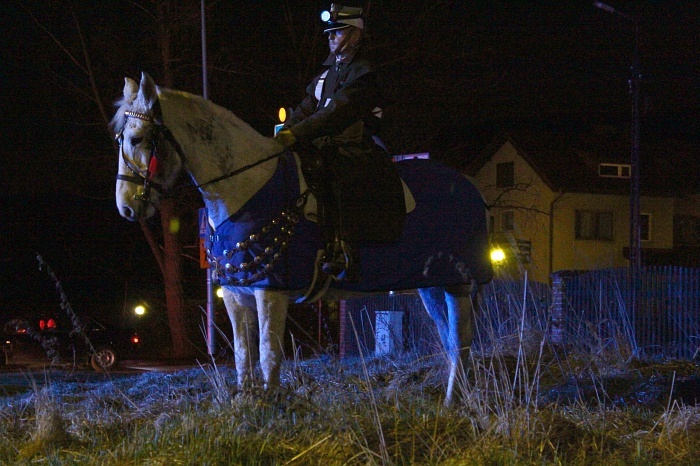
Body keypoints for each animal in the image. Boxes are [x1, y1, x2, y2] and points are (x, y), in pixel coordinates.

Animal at [112, 73, 492, 404]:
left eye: (137, 138)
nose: (126, 208)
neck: (247, 185)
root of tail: (472, 190)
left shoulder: (271, 293)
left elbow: (268, 354)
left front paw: (270, 407)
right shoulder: (235, 296)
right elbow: (242, 357)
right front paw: (247, 406)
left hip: (458, 284)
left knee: (461, 339)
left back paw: (454, 401)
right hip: (433, 285)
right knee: (449, 337)